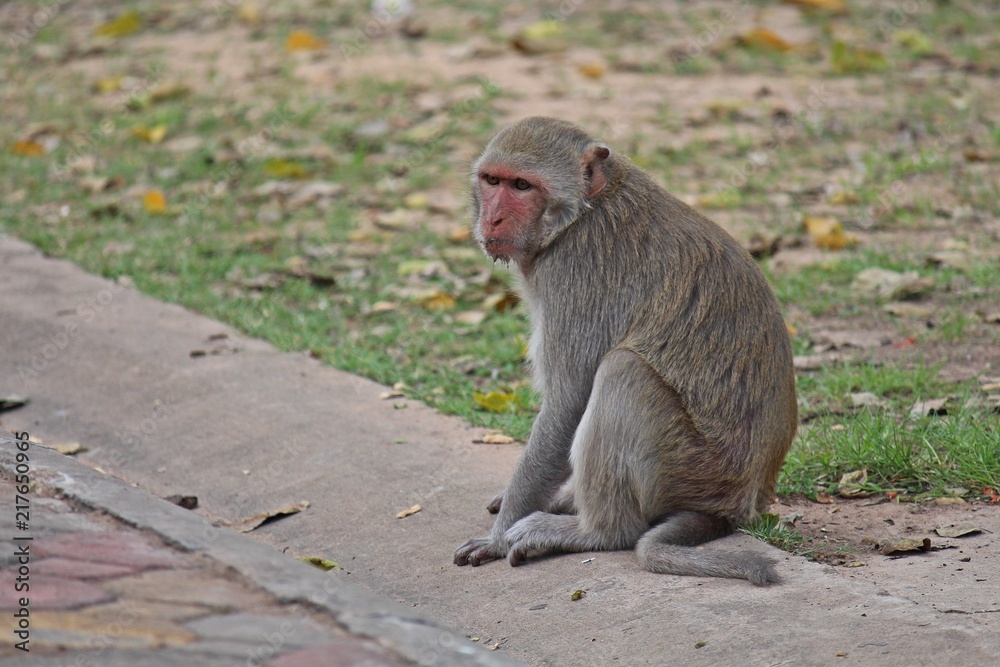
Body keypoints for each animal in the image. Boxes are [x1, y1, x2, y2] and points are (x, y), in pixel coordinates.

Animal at [453, 117, 798, 586]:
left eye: (522, 186)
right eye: (493, 181)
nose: (493, 217)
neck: (581, 213)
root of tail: (739, 502)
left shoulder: (574, 270)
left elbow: (568, 403)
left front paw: (496, 538)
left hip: (692, 468)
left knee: (623, 371)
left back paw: (595, 532)